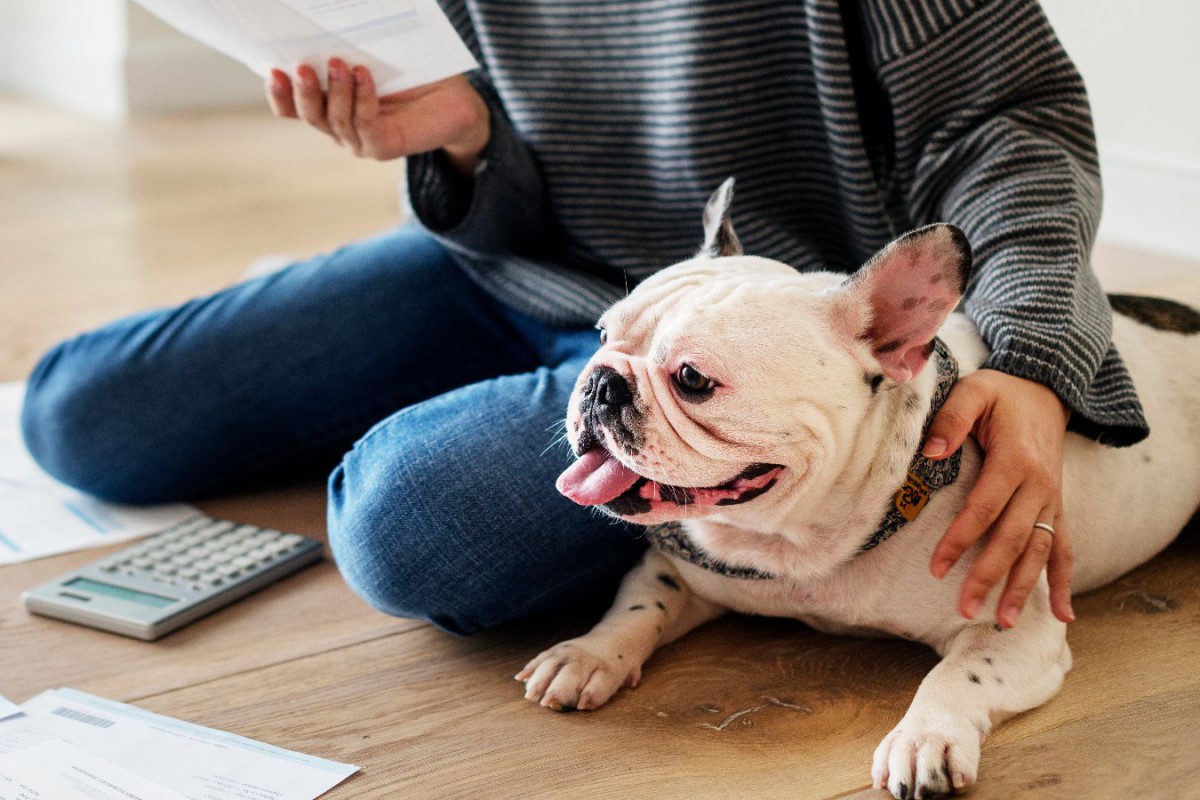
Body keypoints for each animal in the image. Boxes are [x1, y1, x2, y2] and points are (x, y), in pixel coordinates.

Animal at [516, 181, 1200, 800]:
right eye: (602, 337)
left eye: (692, 378)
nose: (600, 383)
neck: (799, 543)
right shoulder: (676, 566)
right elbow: (636, 607)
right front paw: (587, 654)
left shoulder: (1015, 627)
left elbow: (957, 678)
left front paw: (923, 740)